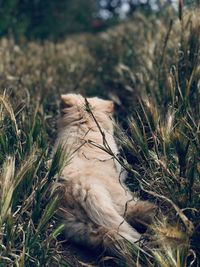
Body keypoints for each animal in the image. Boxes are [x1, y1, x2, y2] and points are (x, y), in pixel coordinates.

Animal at [52, 94, 155, 258]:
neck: (85, 128)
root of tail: (80, 187)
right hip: (122, 200)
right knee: (135, 213)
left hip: (81, 225)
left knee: (111, 237)